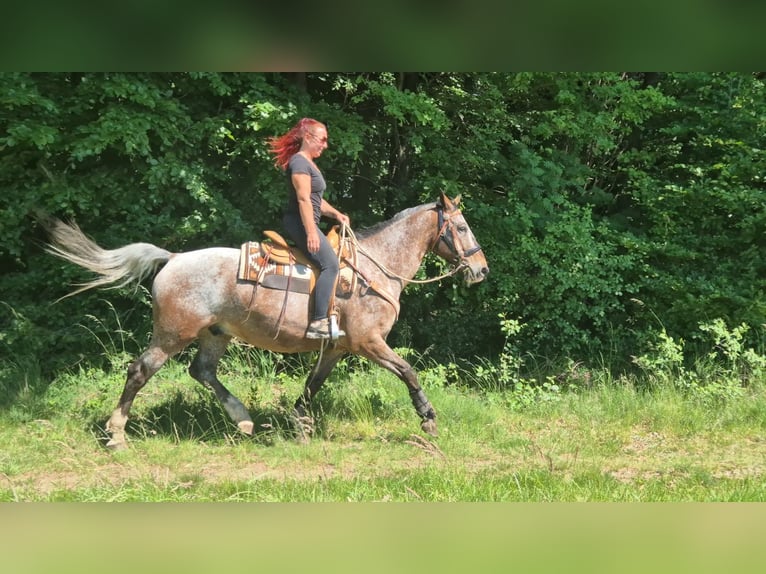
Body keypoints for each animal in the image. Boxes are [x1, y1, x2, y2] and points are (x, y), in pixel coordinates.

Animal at [44, 193, 489, 450]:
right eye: (462, 226)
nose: (481, 269)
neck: (373, 271)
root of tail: (173, 258)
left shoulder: (337, 347)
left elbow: (312, 385)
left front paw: (301, 424)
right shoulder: (368, 342)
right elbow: (409, 371)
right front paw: (428, 419)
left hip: (214, 334)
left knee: (202, 371)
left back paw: (242, 420)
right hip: (173, 334)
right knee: (140, 371)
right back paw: (117, 434)